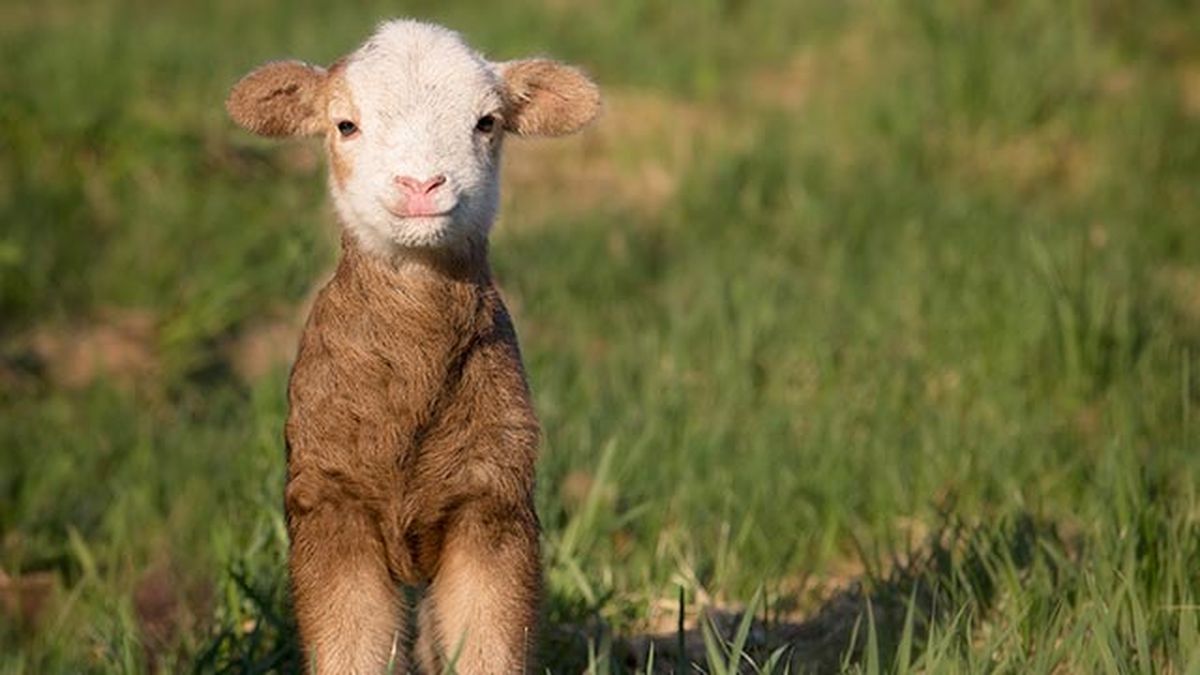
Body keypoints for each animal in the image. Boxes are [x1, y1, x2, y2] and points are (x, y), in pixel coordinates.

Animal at [226, 19, 600, 674]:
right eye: (345, 125)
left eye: (487, 122)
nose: (421, 184)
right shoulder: (329, 499)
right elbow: (350, 649)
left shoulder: (492, 498)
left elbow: (489, 646)